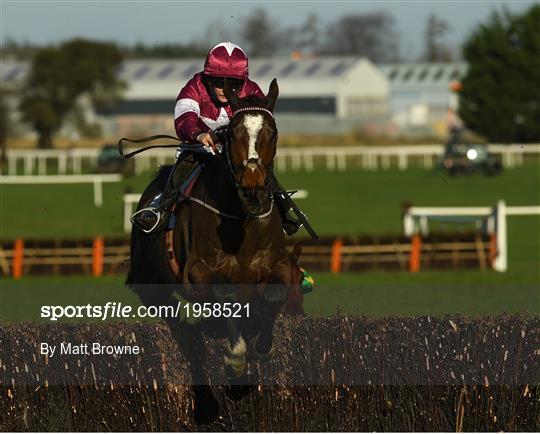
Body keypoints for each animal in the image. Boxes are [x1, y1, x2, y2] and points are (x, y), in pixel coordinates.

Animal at [129, 79, 302, 424]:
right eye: (232, 133)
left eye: (273, 133)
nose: (252, 186)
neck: (241, 220)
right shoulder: (198, 273)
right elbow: (225, 295)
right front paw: (235, 361)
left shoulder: (279, 266)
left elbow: (274, 296)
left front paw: (261, 343)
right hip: (149, 282)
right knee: (176, 320)